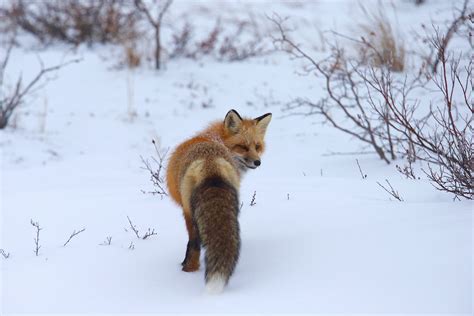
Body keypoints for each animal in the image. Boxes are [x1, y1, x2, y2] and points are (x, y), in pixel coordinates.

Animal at [166, 109, 270, 294]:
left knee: (194, 243)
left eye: (257, 146)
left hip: (190, 212)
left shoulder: (184, 209)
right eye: (243, 147)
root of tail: (211, 162)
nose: (258, 162)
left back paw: (188, 270)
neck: (215, 139)